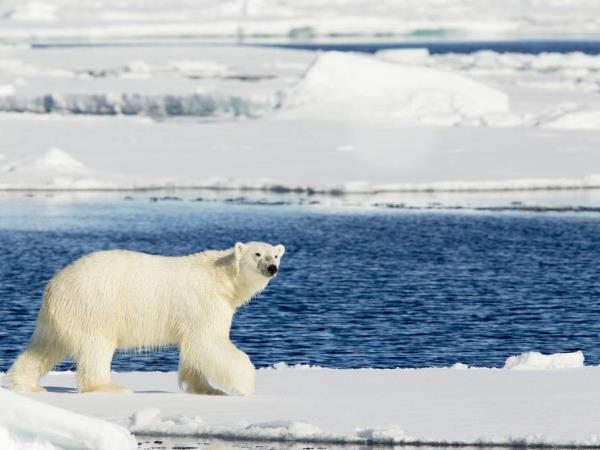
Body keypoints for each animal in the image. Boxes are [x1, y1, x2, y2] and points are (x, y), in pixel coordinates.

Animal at [6, 243, 284, 394]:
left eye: (276, 255)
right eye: (257, 254)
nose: (272, 268)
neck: (223, 278)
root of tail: (55, 284)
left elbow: (193, 349)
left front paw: (207, 388)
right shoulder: (205, 303)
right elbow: (208, 341)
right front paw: (245, 383)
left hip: (59, 316)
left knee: (44, 347)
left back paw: (26, 383)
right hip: (95, 306)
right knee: (96, 347)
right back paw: (110, 387)